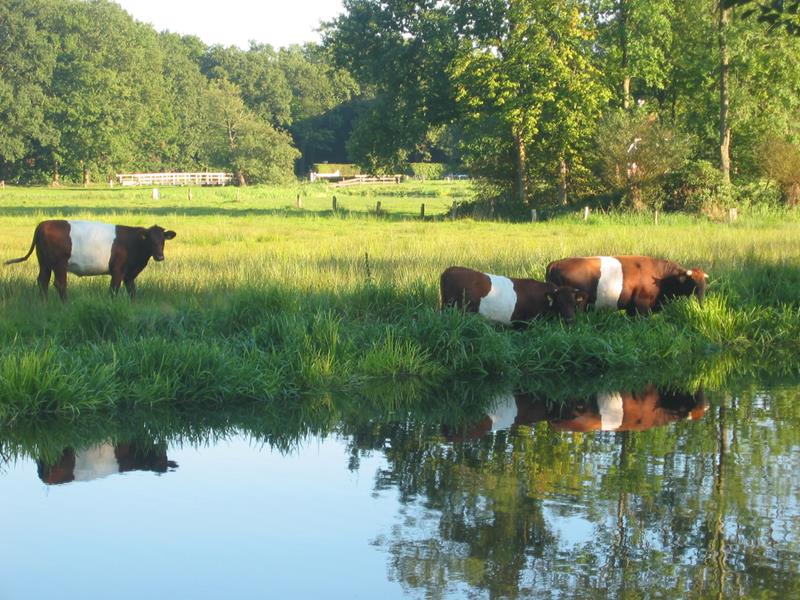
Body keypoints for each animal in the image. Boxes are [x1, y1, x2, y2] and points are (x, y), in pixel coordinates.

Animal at [544, 255, 708, 316]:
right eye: (693, 283)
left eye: (705, 285)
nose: (701, 303)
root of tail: (555, 263)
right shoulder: (642, 306)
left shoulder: (632, 308)